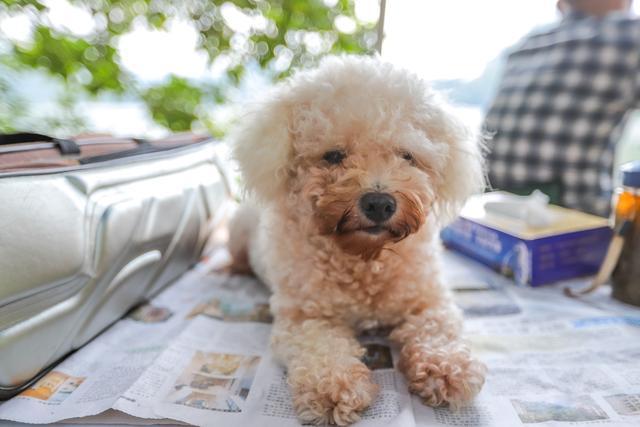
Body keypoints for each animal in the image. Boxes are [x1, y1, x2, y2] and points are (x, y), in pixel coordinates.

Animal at [229, 55, 484, 426]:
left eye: (406, 155)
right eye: (333, 155)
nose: (379, 203)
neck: (364, 259)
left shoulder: (428, 301)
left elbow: (438, 329)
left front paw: (446, 367)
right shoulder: (305, 318)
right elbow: (322, 350)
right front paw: (333, 388)